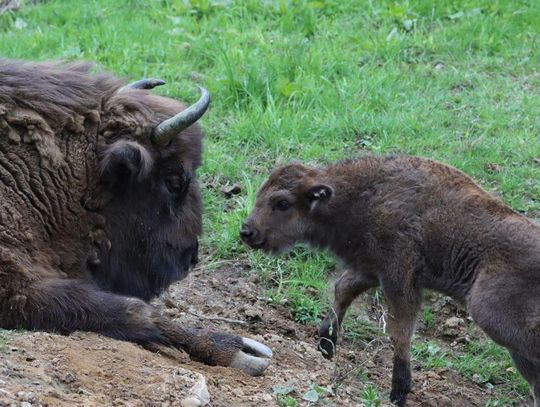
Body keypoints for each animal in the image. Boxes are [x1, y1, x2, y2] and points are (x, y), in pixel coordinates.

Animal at [243, 155, 536, 404]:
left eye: (282, 203)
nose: (247, 231)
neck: (359, 194)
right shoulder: (370, 269)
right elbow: (343, 290)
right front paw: (326, 344)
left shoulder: (398, 278)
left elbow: (400, 330)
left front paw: (399, 391)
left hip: (491, 314)